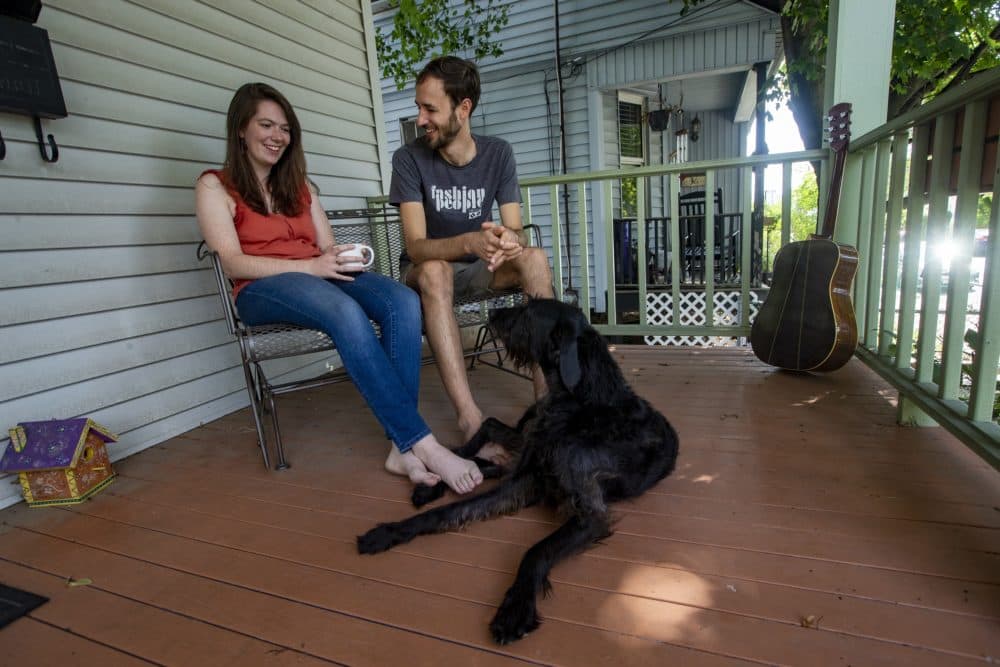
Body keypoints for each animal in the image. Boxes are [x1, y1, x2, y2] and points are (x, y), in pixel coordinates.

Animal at [356, 300, 676, 644]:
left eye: (531, 311)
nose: (494, 314)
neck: (580, 405)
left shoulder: (589, 513)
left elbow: (536, 550)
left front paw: (515, 608)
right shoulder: (524, 480)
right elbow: (449, 511)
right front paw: (390, 531)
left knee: (493, 457)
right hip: (526, 433)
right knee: (490, 436)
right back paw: (431, 485)